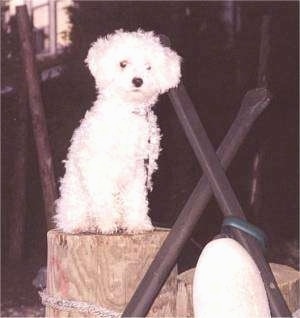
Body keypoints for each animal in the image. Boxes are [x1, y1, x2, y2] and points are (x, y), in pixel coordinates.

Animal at [54, 29, 180, 234]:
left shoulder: (138, 168)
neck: (127, 112)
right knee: (72, 214)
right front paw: (106, 224)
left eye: (148, 67)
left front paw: (137, 224)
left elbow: (137, 198)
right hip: (73, 194)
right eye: (123, 64)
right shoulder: (97, 165)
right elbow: (103, 198)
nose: (137, 81)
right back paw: (81, 224)